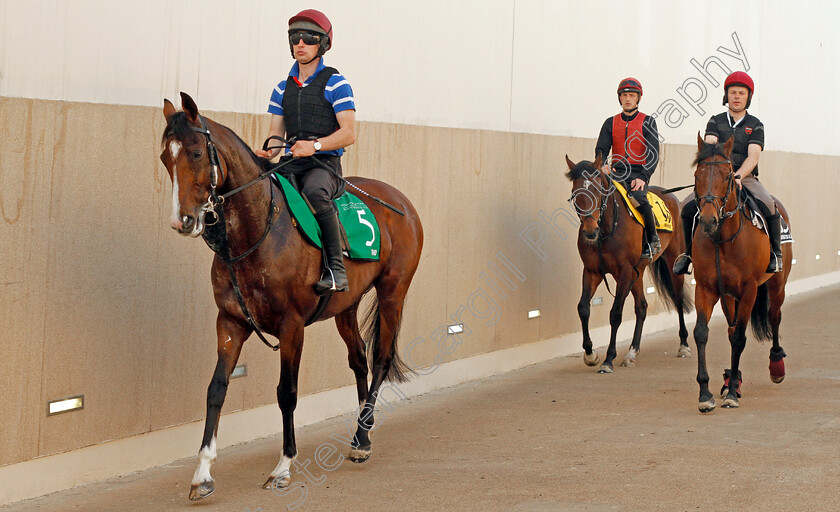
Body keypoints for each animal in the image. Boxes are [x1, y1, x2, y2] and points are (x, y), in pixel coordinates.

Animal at [160, 93, 424, 500]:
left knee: (380, 359)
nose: (183, 221)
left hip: (393, 292)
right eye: (164, 157)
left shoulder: (292, 326)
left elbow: (287, 392)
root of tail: (400, 200)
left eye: (196, 152)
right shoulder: (230, 322)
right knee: (359, 360)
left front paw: (283, 466)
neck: (257, 233)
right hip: (346, 307)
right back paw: (361, 436)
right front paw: (202, 473)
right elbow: (216, 389)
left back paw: (362, 435)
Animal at [560, 154, 692, 374]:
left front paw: (608, 359)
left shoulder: (624, 272)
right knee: (642, 307)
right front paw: (590, 354)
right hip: (638, 271)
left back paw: (684, 345)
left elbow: (615, 314)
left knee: (678, 299)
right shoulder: (592, 271)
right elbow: (583, 308)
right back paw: (632, 352)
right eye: (575, 194)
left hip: (673, 263)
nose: (590, 232)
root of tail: (673, 198)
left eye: (597, 191)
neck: (607, 228)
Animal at [684, 135, 792, 412]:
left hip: (776, 286)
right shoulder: (707, 289)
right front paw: (706, 394)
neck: (723, 238)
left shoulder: (750, 290)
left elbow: (741, 339)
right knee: (732, 330)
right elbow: (702, 333)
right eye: (697, 174)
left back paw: (776, 366)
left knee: (775, 316)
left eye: (728, 175)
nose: (708, 221)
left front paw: (732, 392)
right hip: (728, 297)